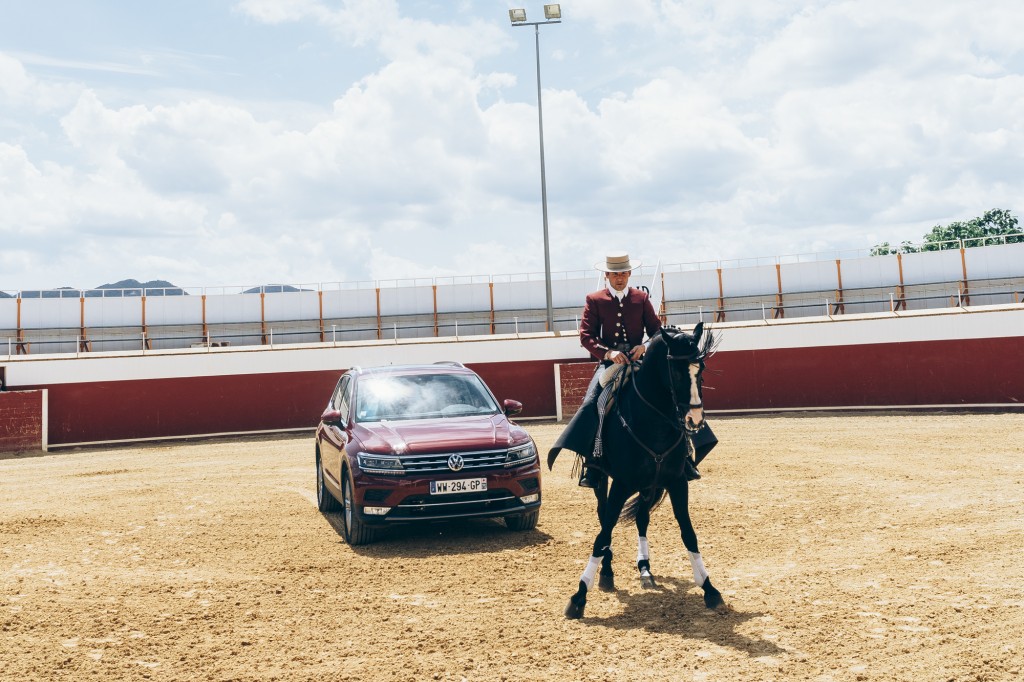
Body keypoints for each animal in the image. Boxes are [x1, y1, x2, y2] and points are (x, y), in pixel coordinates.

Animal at [548, 323, 724, 614]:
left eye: (701, 368)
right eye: (676, 370)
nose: (694, 419)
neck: (654, 422)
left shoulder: (677, 482)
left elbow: (689, 533)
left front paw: (709, 587)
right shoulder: (621, 484)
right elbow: (602, 535)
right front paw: (579, 595)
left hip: (649, 486)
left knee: (642, 518)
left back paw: (645, 568)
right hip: (604, 481)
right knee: (603, 517)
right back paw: (607, 573)